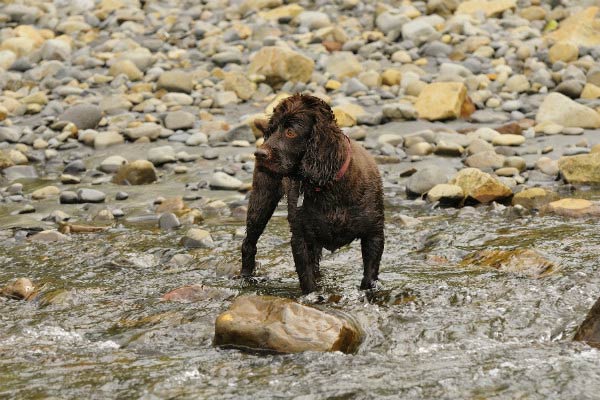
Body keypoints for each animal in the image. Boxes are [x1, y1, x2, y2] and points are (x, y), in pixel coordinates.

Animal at [240, 94, 384, 294]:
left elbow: (369, 277)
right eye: (271, 130)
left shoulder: (374, 234)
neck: (329, 187)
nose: (259, 153)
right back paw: (246, 278)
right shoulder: (301, 238)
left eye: (290, 132)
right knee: (249, 243)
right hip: (262, 200)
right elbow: (307, 279)